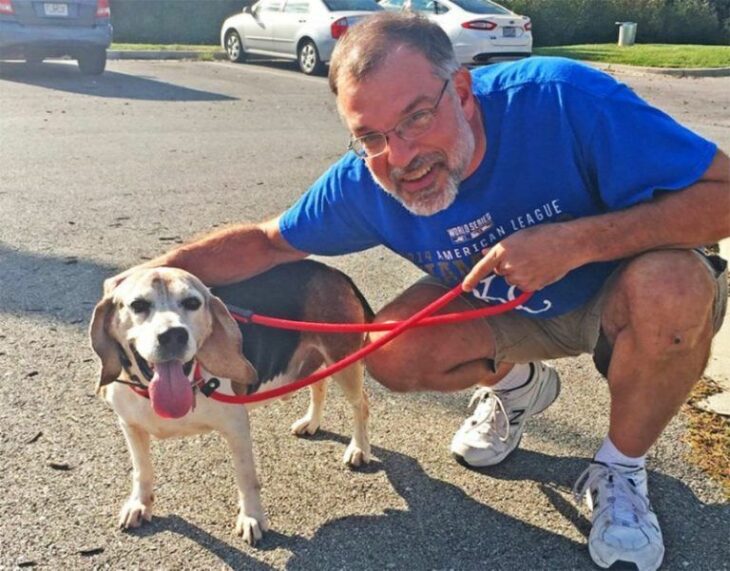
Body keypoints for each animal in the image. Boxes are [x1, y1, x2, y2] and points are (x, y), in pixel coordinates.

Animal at [90, 260, 372, 544]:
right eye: (138, 305)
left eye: (192, 302)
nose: (173, 335)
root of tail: (333, 272)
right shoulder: (130, 426)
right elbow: (142, 470)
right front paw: (139, 504)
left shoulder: (236, 427)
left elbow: (246, 477)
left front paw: (251, 518)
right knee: (319, 385)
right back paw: (311, 422)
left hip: (343, 360)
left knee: (361, 404)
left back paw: (358, 448)